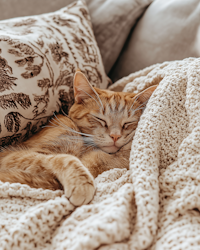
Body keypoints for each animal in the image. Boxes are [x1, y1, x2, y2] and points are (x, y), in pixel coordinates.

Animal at [0, 70, 157, 205]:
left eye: (128, 123)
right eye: (100, 119)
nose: (115, 136)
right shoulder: (9, 156)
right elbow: (64, 158)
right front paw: (81, 182)